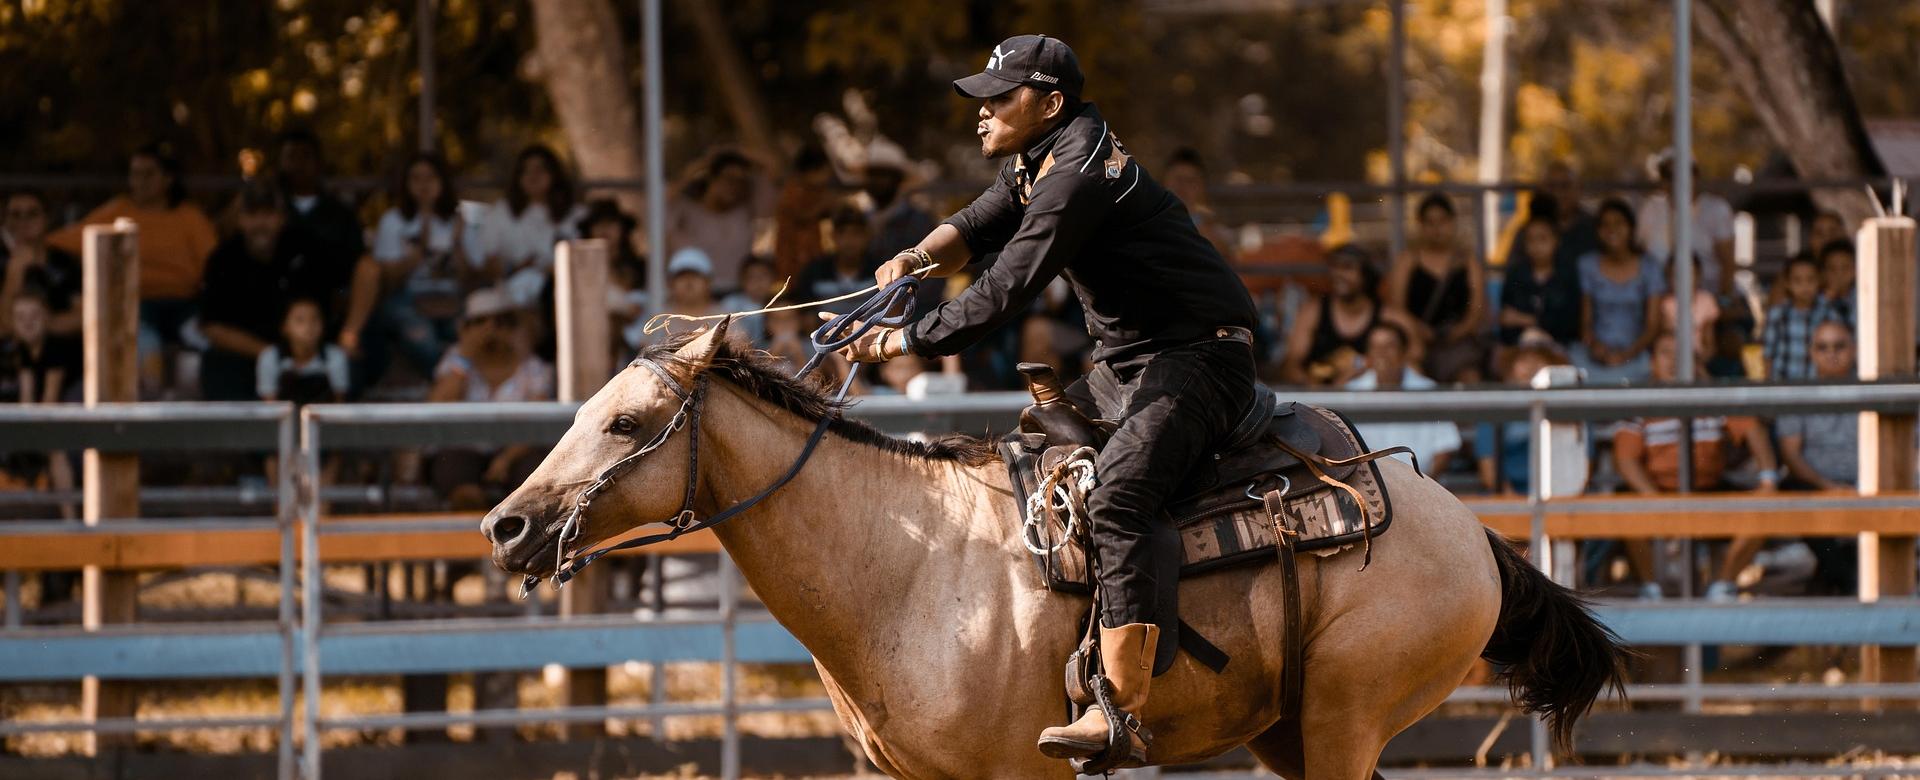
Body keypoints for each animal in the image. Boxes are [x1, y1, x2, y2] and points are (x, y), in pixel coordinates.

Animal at [481, 322, 1627, 779]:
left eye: (628, 424)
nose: (507, 526)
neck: (906, 566)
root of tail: (1470, 533)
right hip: (1290, 728)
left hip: (1347, 715)